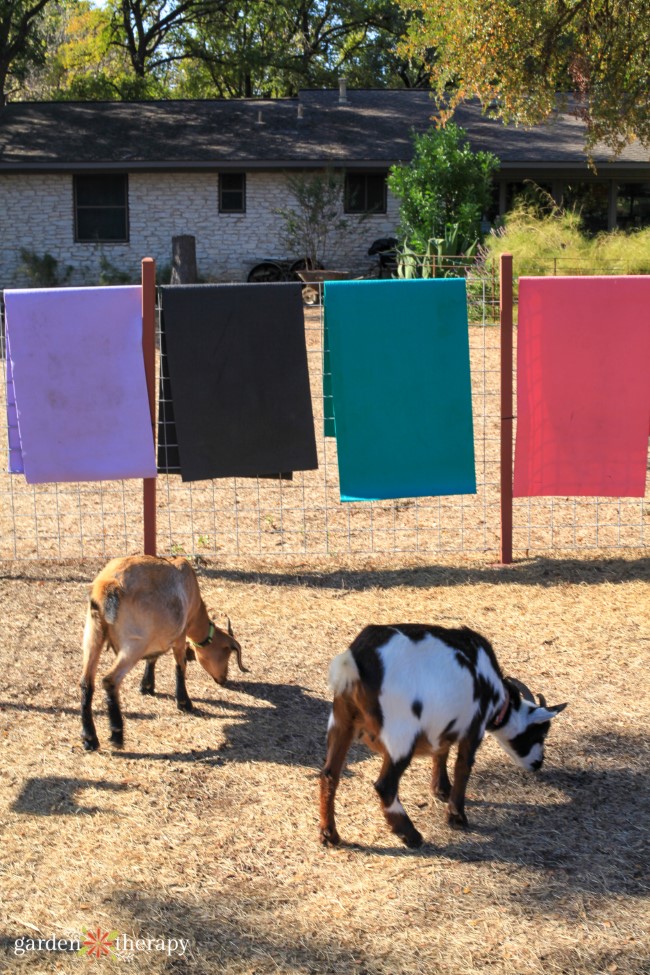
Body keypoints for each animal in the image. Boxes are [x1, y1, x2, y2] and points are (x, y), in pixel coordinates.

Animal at [79, 552, 246, 752]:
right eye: (226, 654)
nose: (223, 679)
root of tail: (108, 584)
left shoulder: (157, 635)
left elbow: (153, 658)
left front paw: (147, 687)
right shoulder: (180, 634)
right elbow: (180, 666)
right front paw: (184, 703)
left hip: (92, 632)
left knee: (86, 683)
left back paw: (89, 738)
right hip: (135, 643)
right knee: (110, 680)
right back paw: (117, 733)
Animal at [318, 624, 560, 848]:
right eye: (540, 732)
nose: (538, 763)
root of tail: (358, 662)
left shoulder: (443, 724)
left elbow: (441, 751)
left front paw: (441, 790)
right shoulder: (474, 726)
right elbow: (463, 767)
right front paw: (457, 817)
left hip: (341, 721)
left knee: (329, 775)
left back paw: (330, 835)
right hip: (401, 735)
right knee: (385, 785)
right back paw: (411, 835)